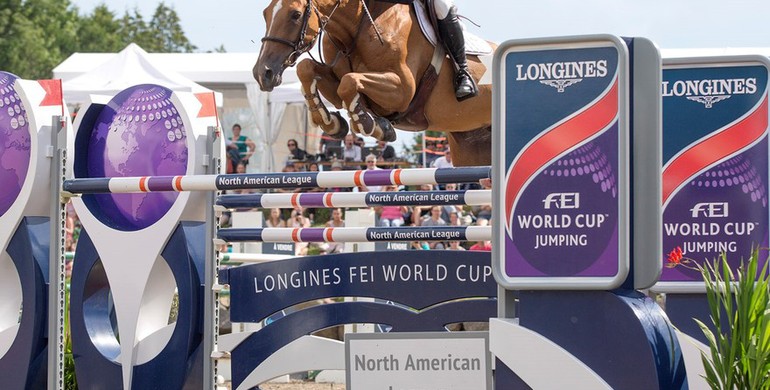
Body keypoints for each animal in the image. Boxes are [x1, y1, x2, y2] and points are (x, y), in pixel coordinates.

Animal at [252, 0, 492, 166]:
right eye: (265, 13)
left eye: (295, 14)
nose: (262, 73)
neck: (357, 27)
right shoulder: (335, 82)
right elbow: (307, 69)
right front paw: (332, 123)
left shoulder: (402, 91)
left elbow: (349, 82)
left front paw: (371, 125)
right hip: (470, 146)